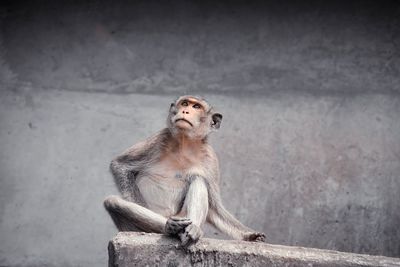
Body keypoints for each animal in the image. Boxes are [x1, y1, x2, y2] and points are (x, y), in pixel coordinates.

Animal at [104, 94, 266, 247]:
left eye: (196, 107)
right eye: (185, 103)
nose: (185, 111)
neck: (184, 144)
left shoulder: (211, 160)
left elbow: (215, 209)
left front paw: (249, 235)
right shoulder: (159, 138)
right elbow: (120, 165)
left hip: (183, 214)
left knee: (198, 180)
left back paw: (191, 231)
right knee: (112, 202)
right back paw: (170, 226)